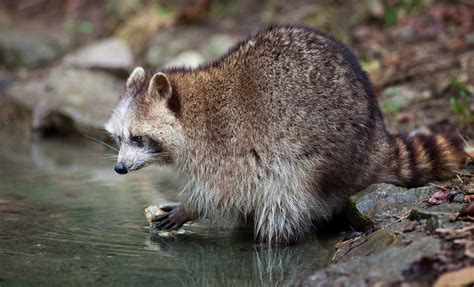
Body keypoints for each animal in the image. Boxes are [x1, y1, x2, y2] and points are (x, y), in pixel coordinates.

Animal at [105, 25, 468, 245]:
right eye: (119, 138)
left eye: (138, 138)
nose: (119, 168)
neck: (191, 108)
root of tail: (375, 137)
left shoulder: (226, 147)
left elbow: (223, 192)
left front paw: (190, 207)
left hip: (321, 157)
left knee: (286, 199)